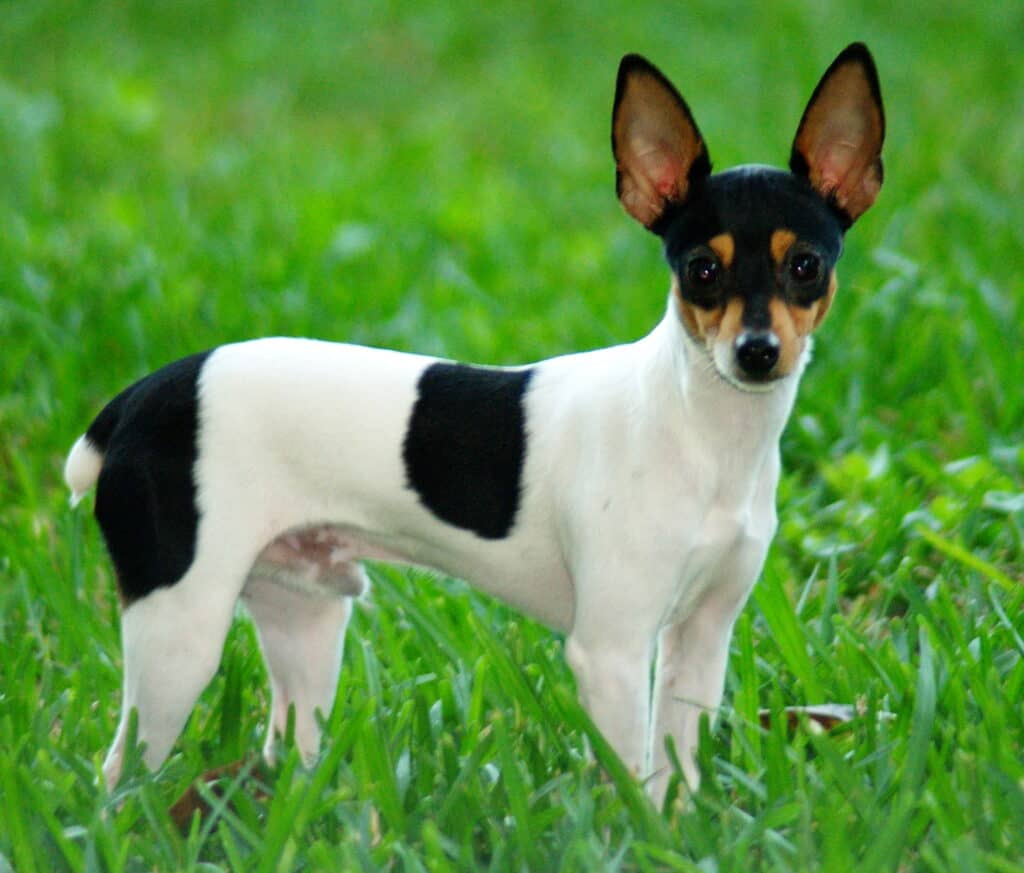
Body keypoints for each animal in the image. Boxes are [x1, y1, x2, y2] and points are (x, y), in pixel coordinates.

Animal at [64, 44, 880, 802]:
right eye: (701, 271)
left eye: (806, 266)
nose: (757, 351)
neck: (697, 430)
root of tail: (138, 398)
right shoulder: (612, 651)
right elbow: (631, 782)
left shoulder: (700, 638)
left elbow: (672, 775)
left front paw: (678, 833)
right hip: (180, 632)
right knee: (119, 774)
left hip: (304, 618)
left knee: (285, 744)